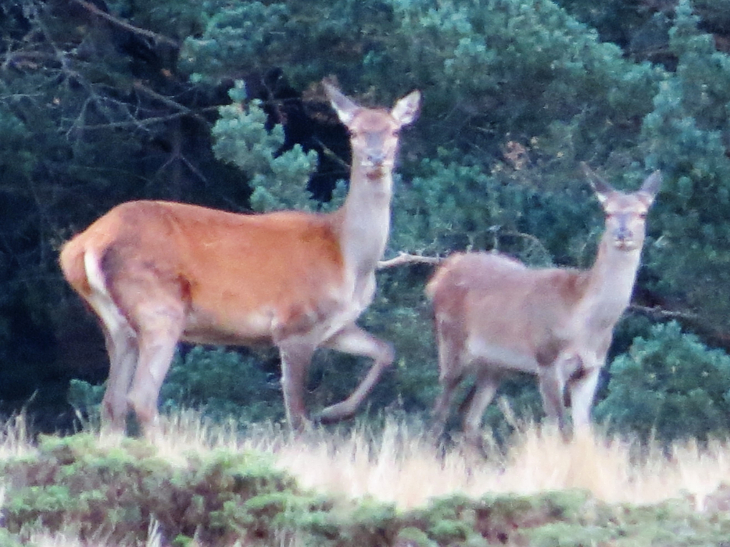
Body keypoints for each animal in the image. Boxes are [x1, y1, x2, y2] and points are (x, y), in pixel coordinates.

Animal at [61, 83, 420, 438]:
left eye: (395, 130)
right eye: (353, 132)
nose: (376, 159)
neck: (349, 260)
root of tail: (81, 246)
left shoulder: (335, 326)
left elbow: (387, 350)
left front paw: (334, 412)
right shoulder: (295, 324)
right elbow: (297, 415)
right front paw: (323, 418)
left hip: (115, 325)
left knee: (112, 403)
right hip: (158, 308)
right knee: (142, 396)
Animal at [426, 167, 660, 450]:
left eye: (643, 213)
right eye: (608, 212)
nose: (623, 235)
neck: (583, 321)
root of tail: (439, 277)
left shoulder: (590, 369)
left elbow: (584, 431)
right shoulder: (548, 359)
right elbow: (561, 428)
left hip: (494, 364)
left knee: (468, 417)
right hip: (451, 340)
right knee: (439, 411)